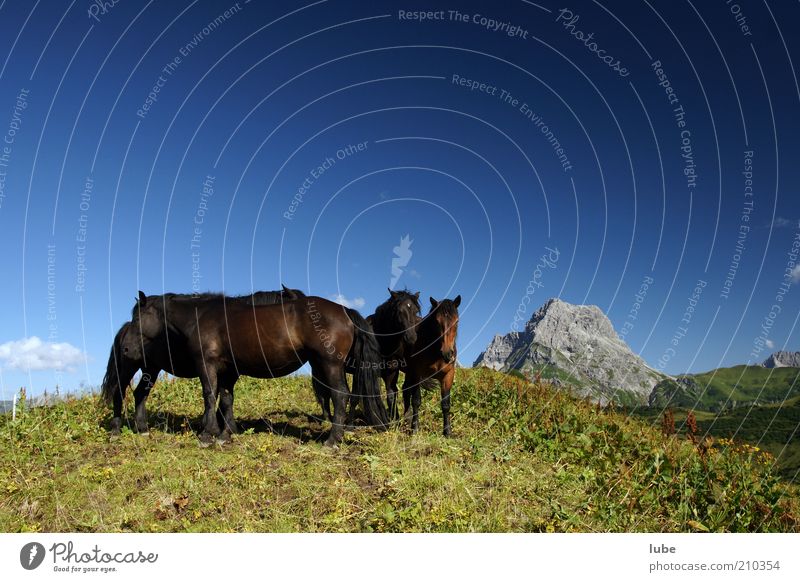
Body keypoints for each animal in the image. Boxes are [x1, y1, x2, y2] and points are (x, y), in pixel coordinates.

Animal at [119, 292, 390, 448]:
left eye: (137, 318)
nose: (125, 349)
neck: (202, 316)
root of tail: (345, 311)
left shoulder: (207, 364)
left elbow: (209, 396)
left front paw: (208, 435)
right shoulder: (227, 370)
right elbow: (226, 399)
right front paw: (225, 434)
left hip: (329, 364)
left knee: (340, 395)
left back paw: (333, 440)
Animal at [400, 296, 462, 438]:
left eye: (456, 321)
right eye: (437, 322)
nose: (447, 353)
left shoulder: (448, 376)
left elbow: (445, 404)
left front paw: (447, 432)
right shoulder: (417, 374)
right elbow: (416, 400)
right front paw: (415, 428)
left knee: (405, 389)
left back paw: (406, 420)